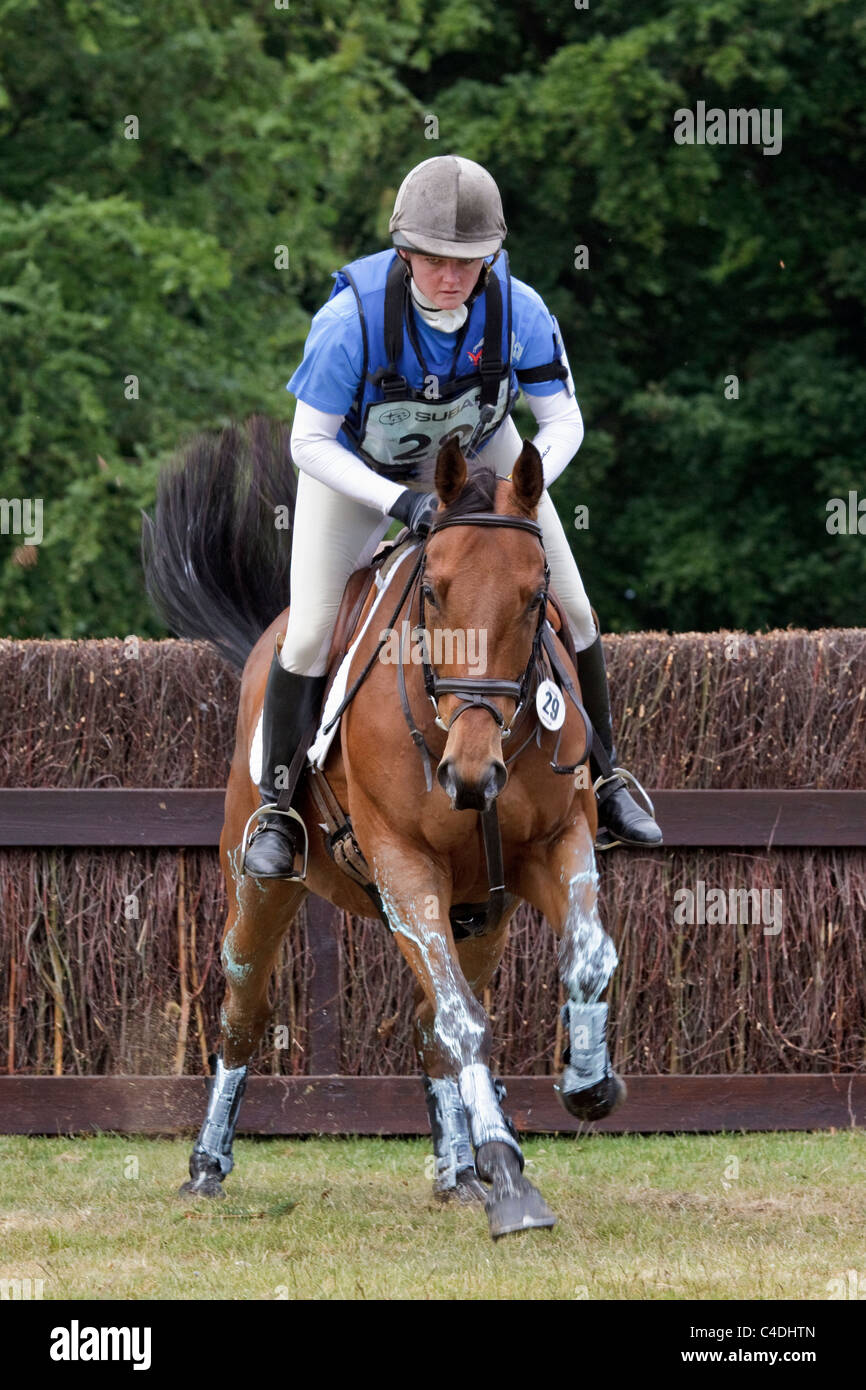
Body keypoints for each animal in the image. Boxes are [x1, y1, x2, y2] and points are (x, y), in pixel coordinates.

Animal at [145, 414, 625, 1239]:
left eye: (536, 597)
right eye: (432, 590)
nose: (471, 776)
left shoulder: (551, 845)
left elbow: (587, 957)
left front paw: (586, 1086)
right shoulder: (405, 866)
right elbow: (465, 1021)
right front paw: (511, 1179)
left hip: (481, 916)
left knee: (433, 1025)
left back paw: (458, 1171)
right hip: (261, 888)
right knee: (246, 1010)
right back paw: (207, 1167)